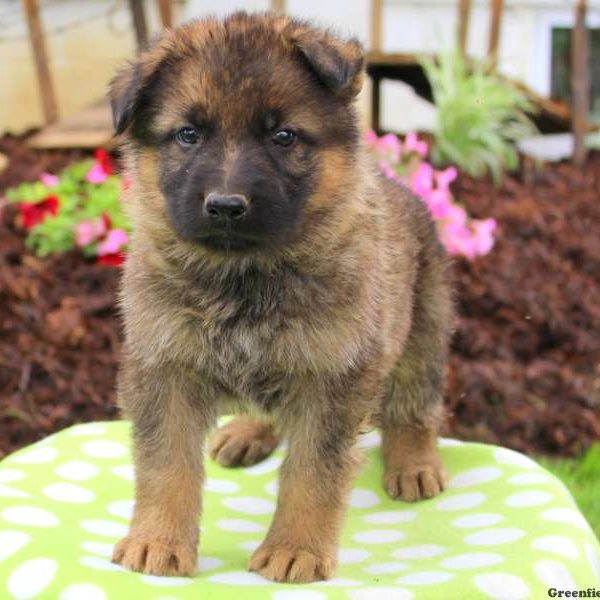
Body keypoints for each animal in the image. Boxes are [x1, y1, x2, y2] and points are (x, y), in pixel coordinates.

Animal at [110, 11, 452, 584]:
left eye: (283, 136)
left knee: (415, 405)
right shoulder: (163, 367)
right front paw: (157, 540)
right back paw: (248, 431)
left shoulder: (331, 376)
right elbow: (165, 464)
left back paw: (414, 464)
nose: (226, 206)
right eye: (188, 134)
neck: (242, 276)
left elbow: (311, 472)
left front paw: (296, 549)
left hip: (421, 328)